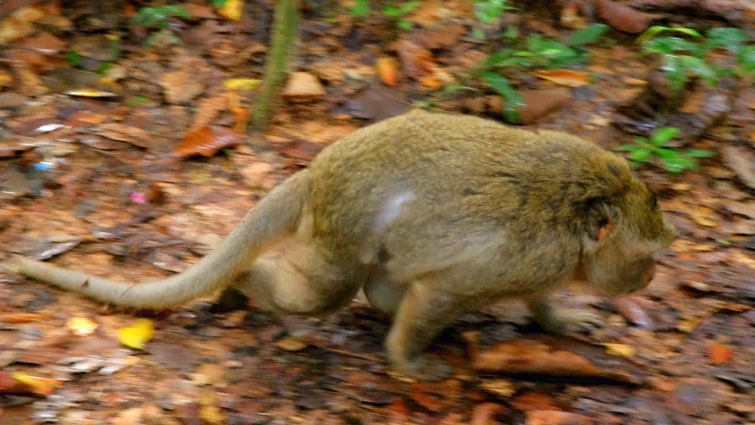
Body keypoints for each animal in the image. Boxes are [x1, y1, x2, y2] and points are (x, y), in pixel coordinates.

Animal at [4, 109, 676, 381]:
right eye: (645, 261)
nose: (646, 282)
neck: (576, 218)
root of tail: (317, 170)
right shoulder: (527, 257)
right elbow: (444, 290)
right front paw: (406, 363)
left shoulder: (545, 264)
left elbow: (535, 299)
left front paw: (559, 320)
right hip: (338, 231)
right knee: (319, 294)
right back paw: (241, 288)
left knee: (381, 285)